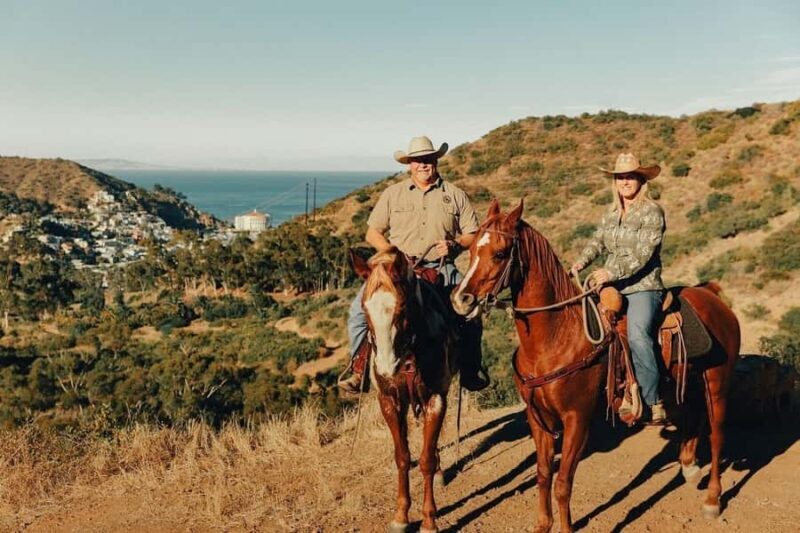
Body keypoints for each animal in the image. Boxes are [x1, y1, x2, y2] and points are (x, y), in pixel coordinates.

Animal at [350, 246, 458, 533]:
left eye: (400, 306)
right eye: (364, 308)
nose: (387, 366)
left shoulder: (436, 398)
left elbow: (426, 459)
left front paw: (429, 520)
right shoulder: (389, 400)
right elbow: (402, 457)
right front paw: (401, 516)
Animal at [450, 200, 740, 533]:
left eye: (499, 253)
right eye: (471, 249)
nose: (460, 300)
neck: (557, 336)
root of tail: (713, 296)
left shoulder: (577, 419)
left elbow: (563, 483)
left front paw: (565, 527)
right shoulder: (538, 419)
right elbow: (543, 475)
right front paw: (542, 525)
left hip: (718, 384)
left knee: (716, 435)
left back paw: (713, 499)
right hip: (689, 383)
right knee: (693, 419)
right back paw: (690, 467)